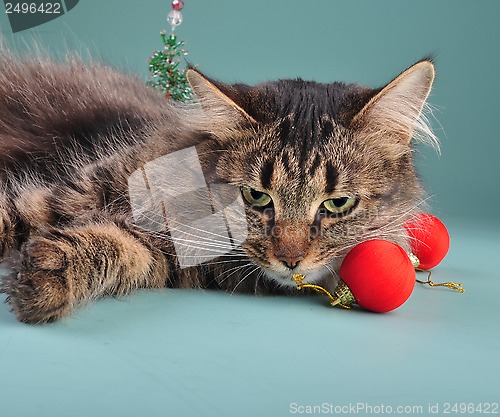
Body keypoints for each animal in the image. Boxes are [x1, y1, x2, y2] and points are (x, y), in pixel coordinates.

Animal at [0, 48, 438, 322]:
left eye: (338, 203)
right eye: (256, 195)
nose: (291, 260)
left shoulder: (165, 255)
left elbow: (112, 245)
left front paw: (43, 275)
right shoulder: (80, 188)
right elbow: (14, 215)